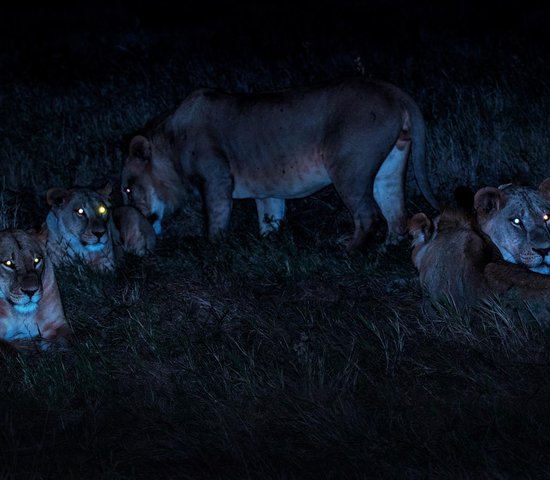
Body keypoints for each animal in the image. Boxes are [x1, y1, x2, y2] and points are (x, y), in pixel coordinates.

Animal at [121, 77, 440, 249]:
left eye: (127, 189)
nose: (134, 220)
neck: (171, 141)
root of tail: (394, 91)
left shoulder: (216, 179)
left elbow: (216, 220)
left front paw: (214, 249)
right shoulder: (267, 192)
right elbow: (270, 218)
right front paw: (268, 243)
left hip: (349, 167)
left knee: (368, 215)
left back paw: (348, 251)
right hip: (390, 166)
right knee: (396, 214)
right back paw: (384, 251)